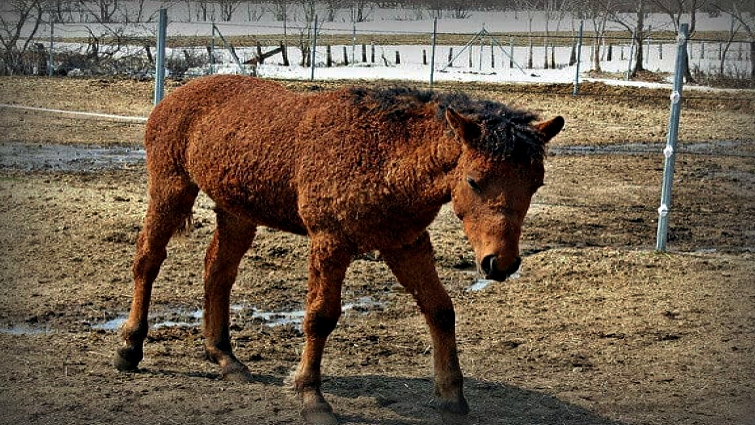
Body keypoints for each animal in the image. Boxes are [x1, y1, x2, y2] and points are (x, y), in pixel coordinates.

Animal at [114, 75, 564, 424]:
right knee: (148, 261)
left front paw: (452, 397)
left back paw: (224, 357)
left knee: (217, 271)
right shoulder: (330, 242)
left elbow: (440, 310)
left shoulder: (407, 244)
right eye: (473, 180)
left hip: (237, 212)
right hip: (171, 190)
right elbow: (320, 317)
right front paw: (311, 397)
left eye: (536, 183)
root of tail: (177, 94)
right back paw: (130, 348)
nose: (500, 263)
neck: (381, 154)